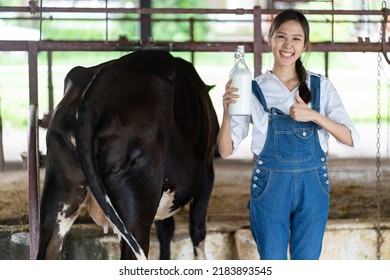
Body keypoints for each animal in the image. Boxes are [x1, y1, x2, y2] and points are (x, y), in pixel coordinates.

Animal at [37, 50, 219, 260]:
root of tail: (94, 93)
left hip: (58, 198)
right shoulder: (207, 174)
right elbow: (197, 228)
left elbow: (166, 231)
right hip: (137, 209)